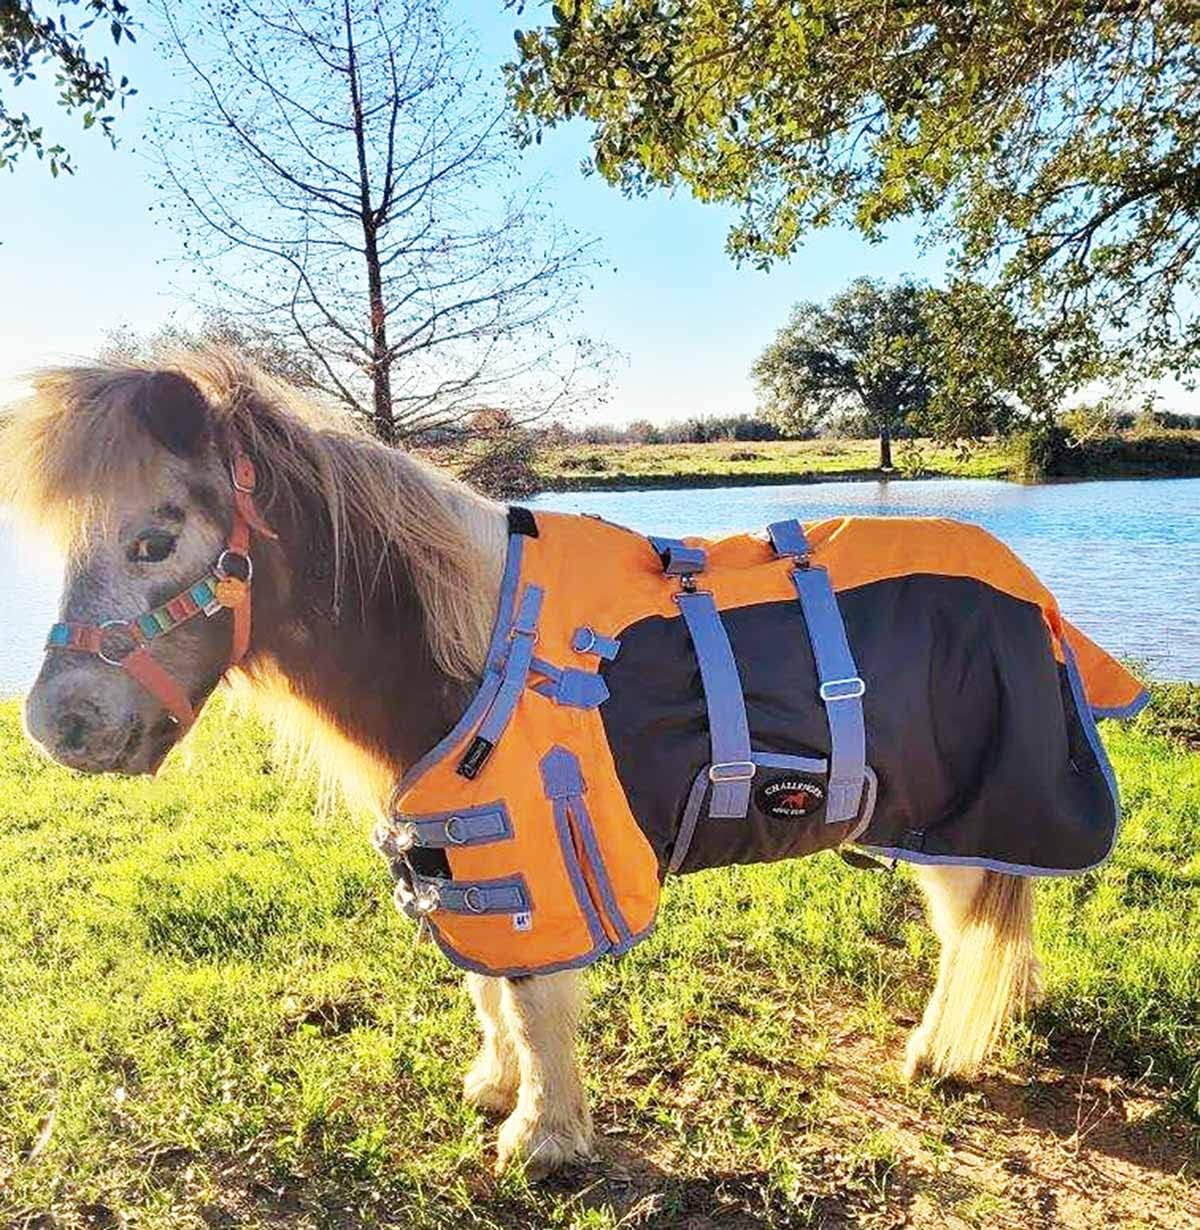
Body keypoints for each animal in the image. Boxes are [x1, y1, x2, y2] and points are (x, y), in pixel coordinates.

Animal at [1, 354, 1132, 1178]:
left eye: (154, 541)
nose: (60, 724)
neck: (471, 650)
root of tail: (1030, 595)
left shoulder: (541, 855)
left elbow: (536, 998)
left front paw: (541, 1139)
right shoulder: (459, 857)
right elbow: (488, 988)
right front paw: (496, 1089)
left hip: (963, 820)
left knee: (969, 930)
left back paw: (944, 1052)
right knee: (996, 922)